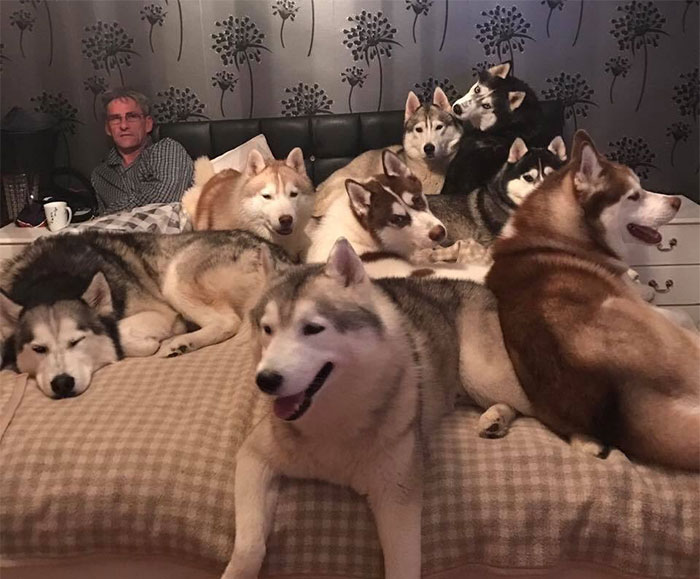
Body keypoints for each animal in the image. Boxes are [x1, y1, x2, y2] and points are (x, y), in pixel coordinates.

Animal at [0, 229, 290, 398]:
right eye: (38, 349)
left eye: (77, 341)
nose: (62, 384)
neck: (51, 280)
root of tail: (279, 257)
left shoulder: (162, 313)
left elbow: (119, 334)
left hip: (175, 278)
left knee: (228, 321)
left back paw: (182, 342)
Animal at [221, 238, 531, 579]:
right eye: (267, 329)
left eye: (313, 328)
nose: (266, 380)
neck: (334, 408)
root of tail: (476, 285)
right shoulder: (254, 456)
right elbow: (249, 545)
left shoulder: (396, 497)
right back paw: (495, 418)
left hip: (482, 373)